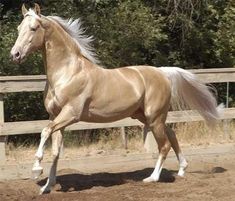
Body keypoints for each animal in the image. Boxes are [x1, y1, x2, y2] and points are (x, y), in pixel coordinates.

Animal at [11, 3, 220, 195]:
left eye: (33, 28)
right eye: (19, 28)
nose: (15, 54)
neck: (68, 73)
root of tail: (162, 72)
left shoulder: (71, 114)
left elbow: (44, 132)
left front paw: (36, 170)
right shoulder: (55, 116)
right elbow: (55, 152)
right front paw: (47, 186)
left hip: (154, 118)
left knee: (164, 145)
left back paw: (152, 178)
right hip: (147, 117)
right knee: (172, 135)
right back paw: (182, 170)